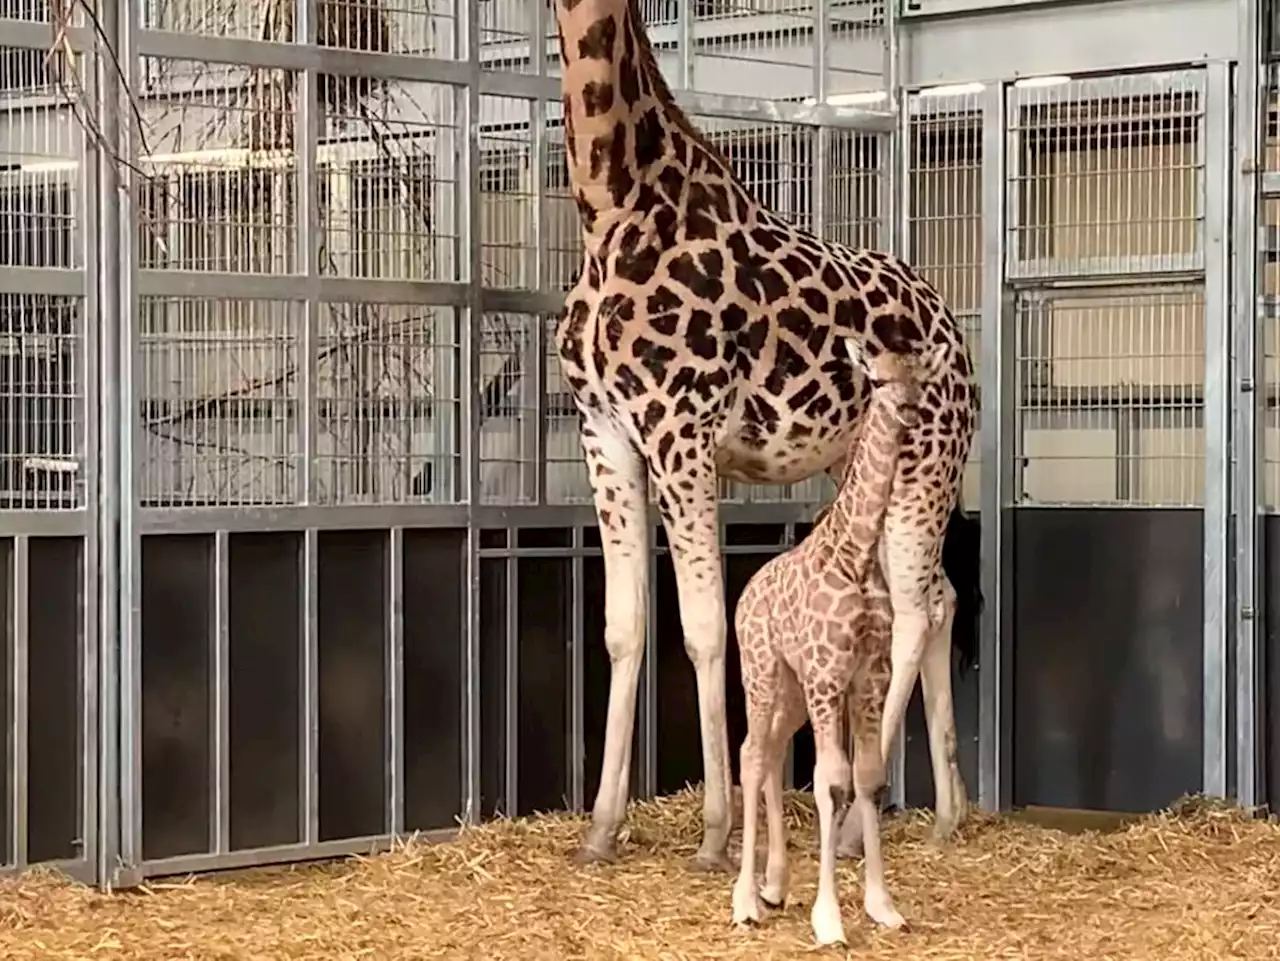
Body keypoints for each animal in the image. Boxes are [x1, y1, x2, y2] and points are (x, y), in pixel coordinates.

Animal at [552, 0, 977, 870]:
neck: (609, 208)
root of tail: (957, 330)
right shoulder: (604, 430)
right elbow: (623, 625)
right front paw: (602, 828)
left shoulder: (680, 427)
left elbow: (704, 627)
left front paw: (717, 829)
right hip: (872, 468)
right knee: (939, 596)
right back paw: (948, 813)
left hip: (931, 459)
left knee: (917, 609)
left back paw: (849, 824)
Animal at [732, 337, 942, 946]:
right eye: (875, 377)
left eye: (917, 376)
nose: (909, 410)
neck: (859, 551)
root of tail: (745, 594)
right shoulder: (829, 675)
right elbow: (830, 783)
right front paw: (829, 920)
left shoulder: (867, 677)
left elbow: (868, 780)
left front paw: (882, 906)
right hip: (760, 670)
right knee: (750, 753)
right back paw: (745, 900)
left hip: (793, 688)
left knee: (771, 751)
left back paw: (774, 886)